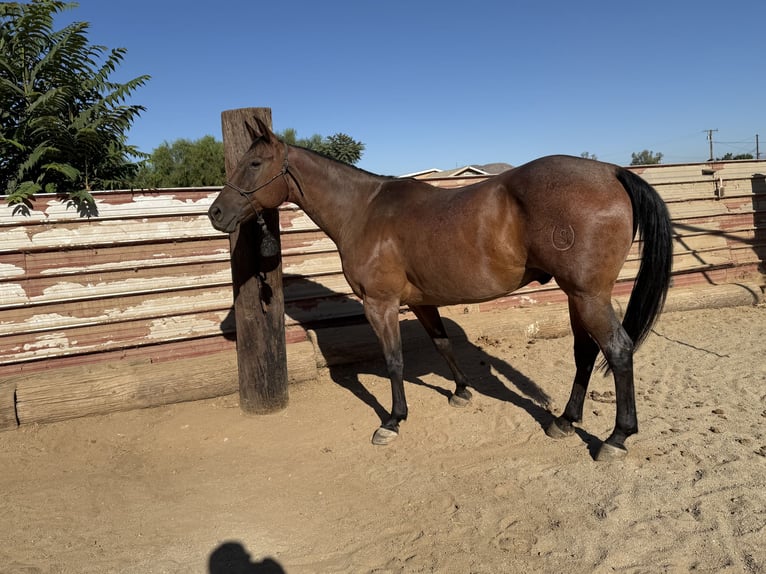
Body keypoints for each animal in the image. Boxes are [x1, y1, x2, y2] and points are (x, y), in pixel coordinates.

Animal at [208, 117, 673, 461]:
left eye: (254, 164)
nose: (216, 213)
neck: (364, 211)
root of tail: (611, 171)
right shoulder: (422, 303)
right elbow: (442, 344)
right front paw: (462, 391)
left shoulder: (380, 304)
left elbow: (394, 361)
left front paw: (393, 420)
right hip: (578, 296)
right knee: (585, 352)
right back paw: (564, 420)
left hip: (587, 295)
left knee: (618, 350)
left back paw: (616, 438)